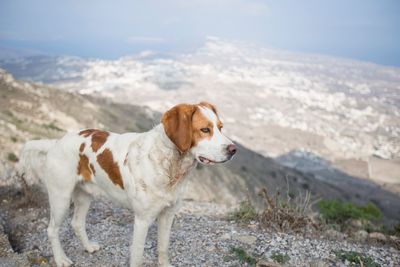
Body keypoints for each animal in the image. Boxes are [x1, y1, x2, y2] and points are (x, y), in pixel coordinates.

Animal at [18, 101, 236, 266]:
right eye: (205, 129)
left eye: (221, 127)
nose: (233, 149)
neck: (168, 163)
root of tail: (55, 142)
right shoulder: (142, 219)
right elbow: (137, 255)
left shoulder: (168, 214)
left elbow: (163, 248)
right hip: (60, 197)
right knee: (52, 229)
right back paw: (61, 259)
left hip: (84, 196)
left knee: (77, 223)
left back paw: (88, 247)